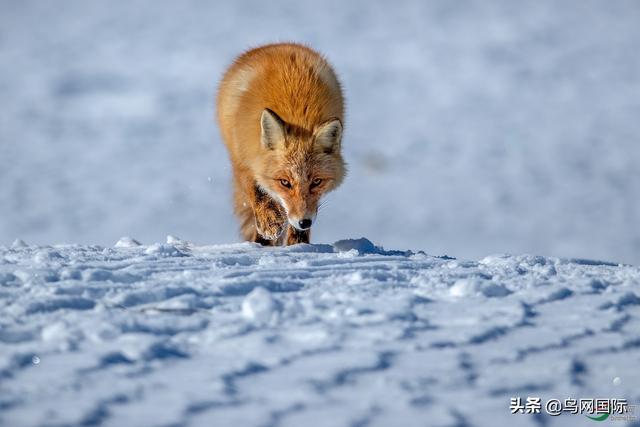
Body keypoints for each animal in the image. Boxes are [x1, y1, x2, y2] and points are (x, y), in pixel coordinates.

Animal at [216, 43, 348, 246]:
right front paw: (269, 222)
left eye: (317, 181)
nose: (304, 221)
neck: (298, 114)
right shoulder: (244, 159)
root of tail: (274, 45)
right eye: (285, 182)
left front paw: (298, 243)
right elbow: (258, 194)